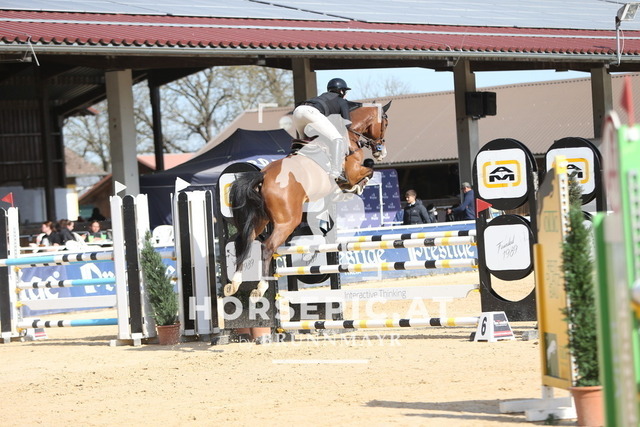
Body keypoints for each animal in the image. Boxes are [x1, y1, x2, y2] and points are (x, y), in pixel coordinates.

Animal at [224, 101, 391, 300]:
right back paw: (261, 287)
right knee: (267, 246)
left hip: (260, 219)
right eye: (386, 124)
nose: (381, 151)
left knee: (243, 242)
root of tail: (263, 175)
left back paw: (234, 283)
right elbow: (369, 171)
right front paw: (355, 188)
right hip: (287, 221)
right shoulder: (353, 172)